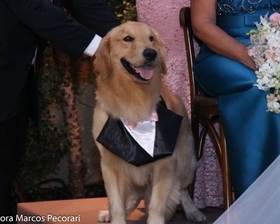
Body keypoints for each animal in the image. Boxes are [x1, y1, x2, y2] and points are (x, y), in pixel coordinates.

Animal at [92, 21, 206, 224]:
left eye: (151, 38)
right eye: (127, 38)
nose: (151, 53)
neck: (132, 98)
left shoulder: (164, 164)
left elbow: (155, 205)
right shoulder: (110, 166)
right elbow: (117, 203)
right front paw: (115, 216)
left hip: (186, 162)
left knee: (182, 189)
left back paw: (193, 212)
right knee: (134, 196)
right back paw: (109, 214)